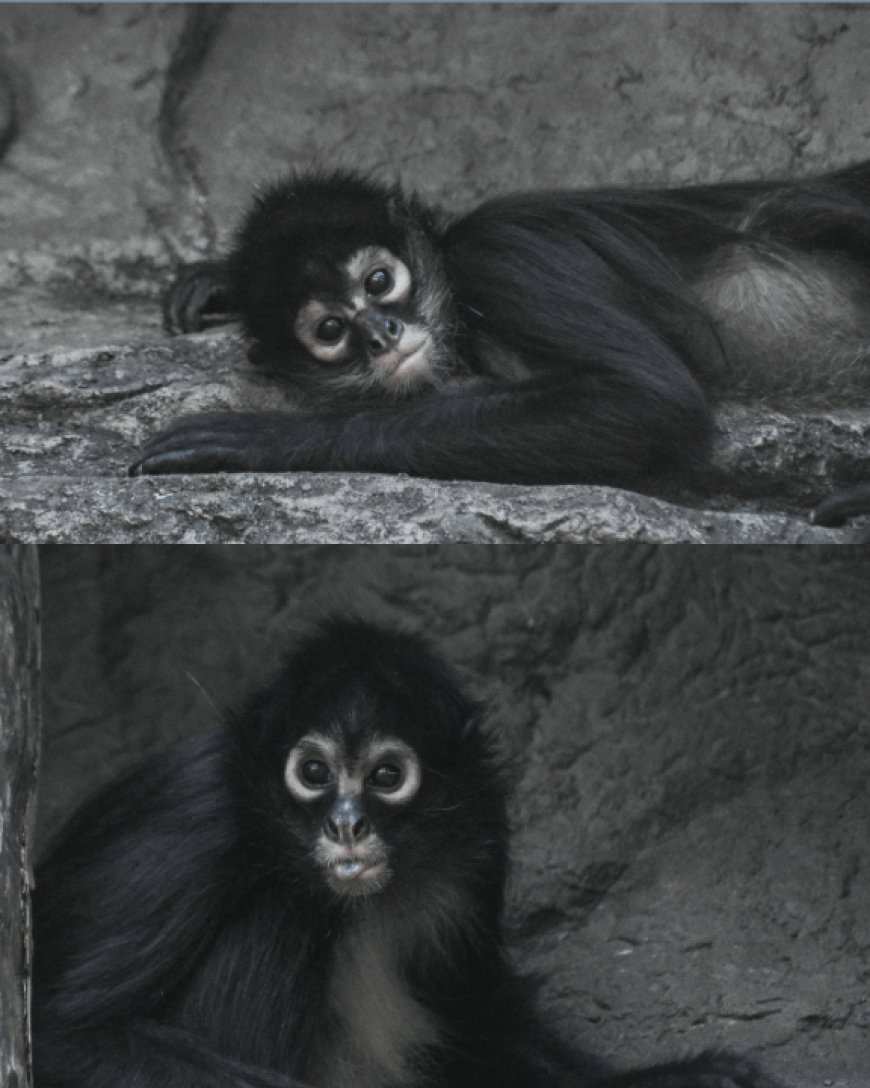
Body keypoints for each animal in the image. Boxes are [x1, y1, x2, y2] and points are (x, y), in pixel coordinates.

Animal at [33, 619, 786, 1088]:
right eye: (313, 773)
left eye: (387, 776)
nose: (347, 824)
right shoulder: (196, 814)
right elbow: (55, 1037)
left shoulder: (482, 826)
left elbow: (474, 1007)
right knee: (283, 909)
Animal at [128, 164, 870, 525]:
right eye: (332, 331)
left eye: (379, 281)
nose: (382, 334)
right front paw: (215, 280)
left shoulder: (505, 254)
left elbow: (650, 397)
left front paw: (268, 438)